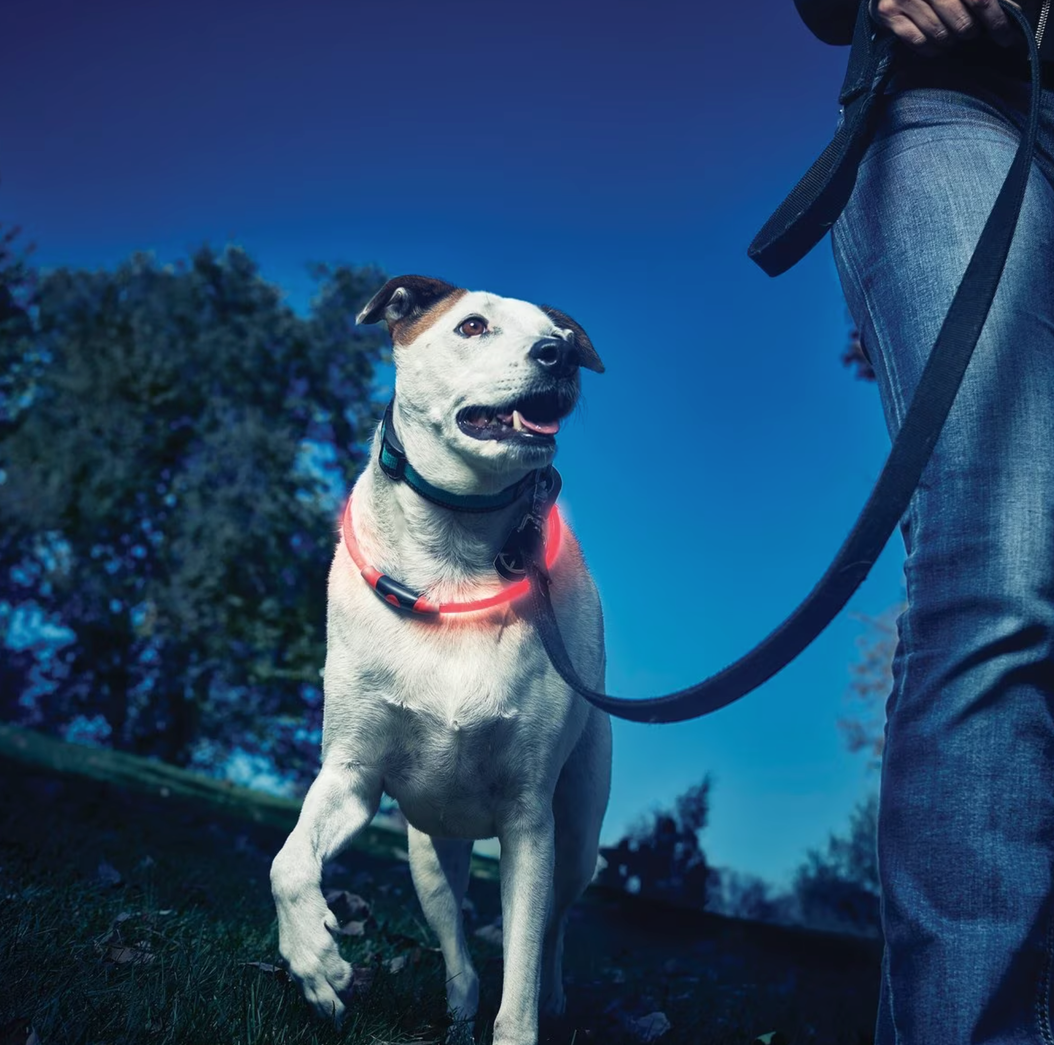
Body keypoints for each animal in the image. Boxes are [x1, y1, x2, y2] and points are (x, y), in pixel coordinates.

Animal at [271, 274, 615, 1041]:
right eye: (472, 326)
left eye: (560, 335)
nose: (559, 355)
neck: (455, 550)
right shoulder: (351, 775)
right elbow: (288, 862)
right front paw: (317, 961)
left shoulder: (530, 821)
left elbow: (521, 965)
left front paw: (521, 1016)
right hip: (427, 846)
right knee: (453, 927)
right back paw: (457, 1001)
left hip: (578, 833)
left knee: (555, 926)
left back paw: (554, 991)